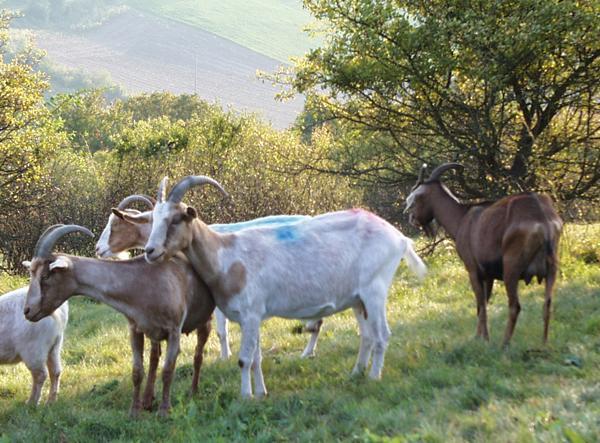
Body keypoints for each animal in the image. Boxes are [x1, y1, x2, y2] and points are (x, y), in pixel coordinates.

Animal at [136, 176, 426, 398]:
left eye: (175, 220)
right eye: (153, 220)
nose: (150, 251)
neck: (227, 255)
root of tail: (399, 238)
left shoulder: (251, 313)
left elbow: (244, 359)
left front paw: (245, 396)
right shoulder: (252, 317)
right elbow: (256, 358)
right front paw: (261, 392)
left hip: (375, 291)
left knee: (382, 335)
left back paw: (374, 377)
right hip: (358, 299)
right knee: (366, 335)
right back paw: (355, 374)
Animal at [404, 164, 564, 346]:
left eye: (416, 198)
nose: (412, 218)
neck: (462, 218)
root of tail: (542, 219)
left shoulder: (473, 270)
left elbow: (480, 305)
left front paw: (484, 339)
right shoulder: (489, 275)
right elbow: (484, 303)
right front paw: (478, 336)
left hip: (511, 268)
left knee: (515, 306)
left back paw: (504, 344)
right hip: (552, 268)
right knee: (547, 304)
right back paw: (544, 344)